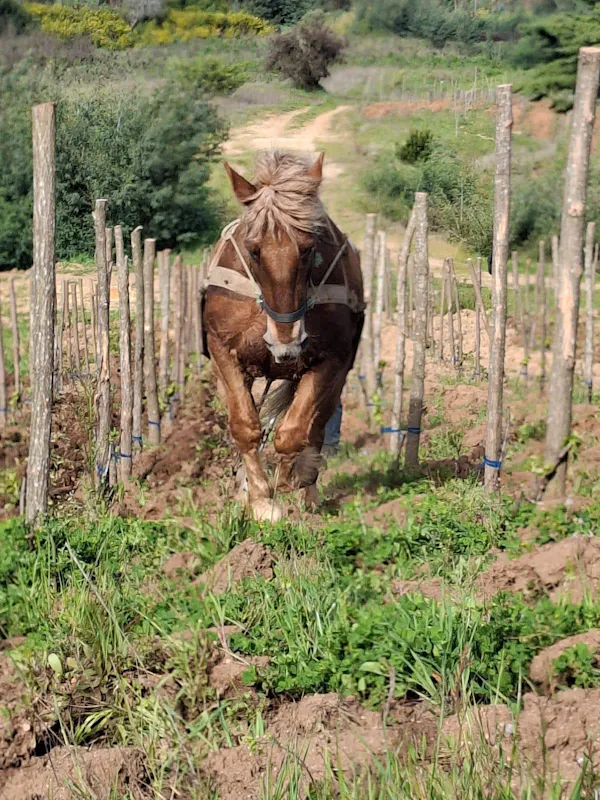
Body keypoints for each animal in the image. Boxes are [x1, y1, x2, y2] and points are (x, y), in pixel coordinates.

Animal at [202, 151, 364, 521]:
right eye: (253, 250)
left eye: (308, 248)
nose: (285, 344)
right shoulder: (222, 349)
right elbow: (245, 426)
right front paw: (260, 499)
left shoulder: (332, 360)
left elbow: (295, 431)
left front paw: (288, 480)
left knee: (317, 425)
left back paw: (308, 489)